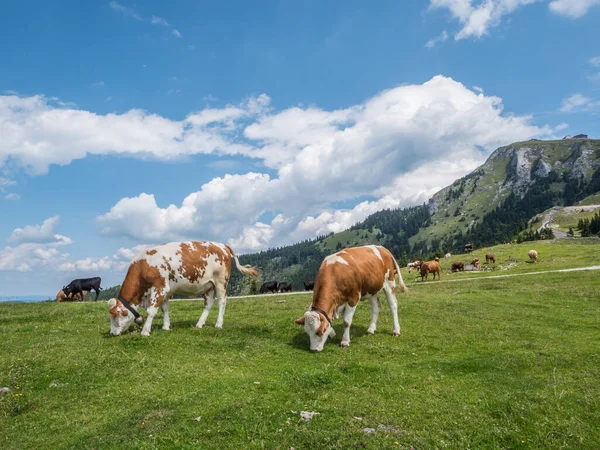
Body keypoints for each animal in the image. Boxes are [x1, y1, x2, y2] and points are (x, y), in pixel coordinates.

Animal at [106, 241, 260, 336]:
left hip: (221, 281)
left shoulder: (160, 287)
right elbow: (164, 308)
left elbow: (151, 310)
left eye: (115, 316)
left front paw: (145, 331)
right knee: (209, 303)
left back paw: (218, 324)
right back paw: (199, 324)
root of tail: (222, 245)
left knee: (222, 300)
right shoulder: (166, 290)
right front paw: (166, 326)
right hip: (209, 285)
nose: (112, 333)